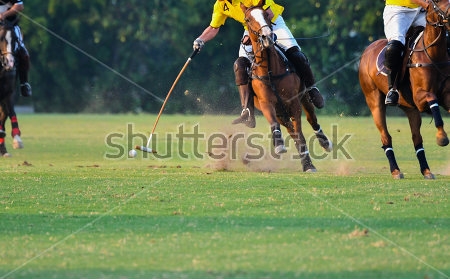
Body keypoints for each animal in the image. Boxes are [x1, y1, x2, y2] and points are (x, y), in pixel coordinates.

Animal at [241, 1, 332, 173]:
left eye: (266, 14)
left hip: (303, 98)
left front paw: (309, 165)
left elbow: (300, 133)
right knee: (289, 128)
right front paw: (279, 145)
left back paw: (325, 143)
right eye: (248, 19)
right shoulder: (266, 103)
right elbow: (275, 124)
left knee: (311, 119)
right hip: (280, 111)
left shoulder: (294, 102)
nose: (267, 36)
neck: (270, 70)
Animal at [358, 0, 450, 179]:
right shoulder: (421, 97)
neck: (435, 54)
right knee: (386, 137)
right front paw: (442, 137)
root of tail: (367, 50)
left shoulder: (446, 96)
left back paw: (426, 170)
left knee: (416, 139)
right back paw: (396, 171)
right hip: (374, 101)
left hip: (410, 109)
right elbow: (433, 101)